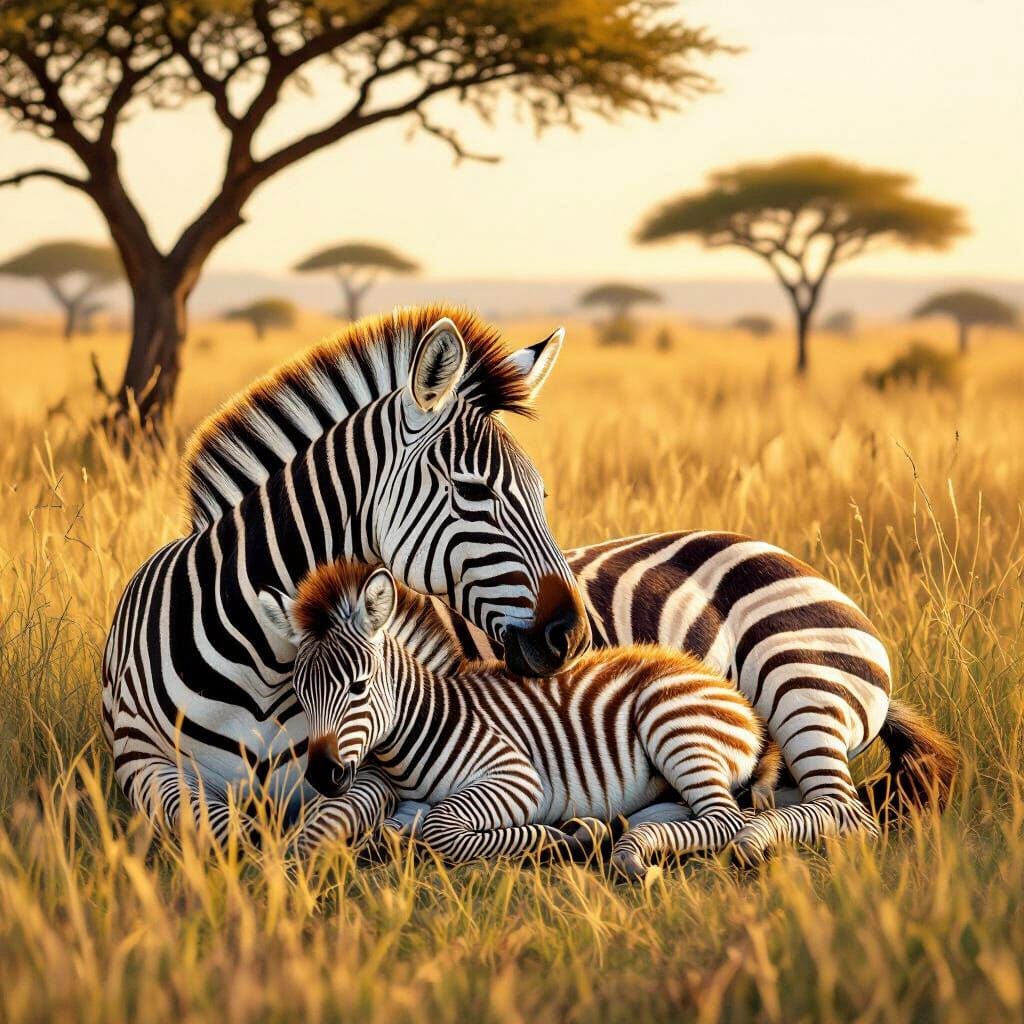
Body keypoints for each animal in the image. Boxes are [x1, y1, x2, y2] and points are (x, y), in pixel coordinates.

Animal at [101, 306, 591, 844]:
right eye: (473, 490)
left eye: (543, 495)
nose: (572, 635)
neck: (264, 664)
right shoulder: (141, 759)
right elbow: (220, 830)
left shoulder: (370, 762)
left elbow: (321, 829)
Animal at [258, 559, 784, 876]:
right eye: (299, 695)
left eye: (358, 687)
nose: (323, 777)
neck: (426, 724)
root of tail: (733, 696)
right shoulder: (405, 804)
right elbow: (400, 829)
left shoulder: (516, 775)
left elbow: (440, 829)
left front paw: (556, 840)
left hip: (673, 723)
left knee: (725, 820)